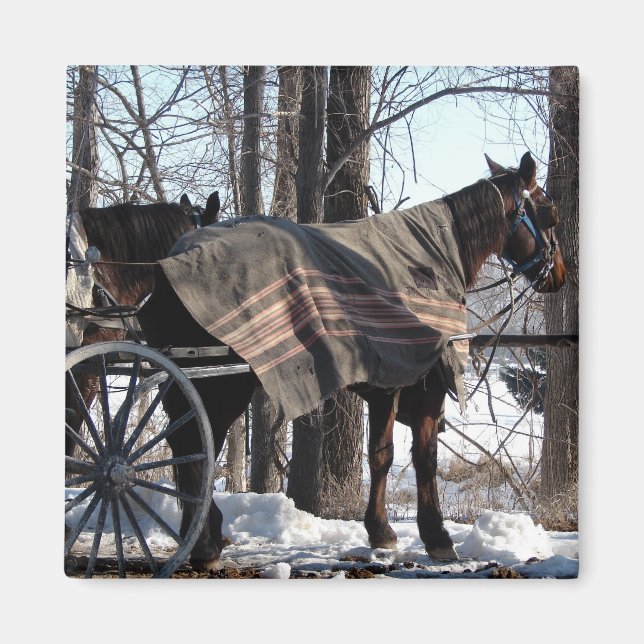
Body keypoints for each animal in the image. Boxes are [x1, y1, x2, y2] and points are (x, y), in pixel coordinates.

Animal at [136, 151, 566, 571]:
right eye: (550, 215)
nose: (558, 274)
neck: (430, 255)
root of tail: (173, 262)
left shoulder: (385, 384)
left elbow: (380, 454)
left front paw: (380, 531)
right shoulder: (425, 381)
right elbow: (424, 457)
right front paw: (437, 535)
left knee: (186, 445)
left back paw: (201, 534)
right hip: (220, 386)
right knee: (195, 446)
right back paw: (204, 542)